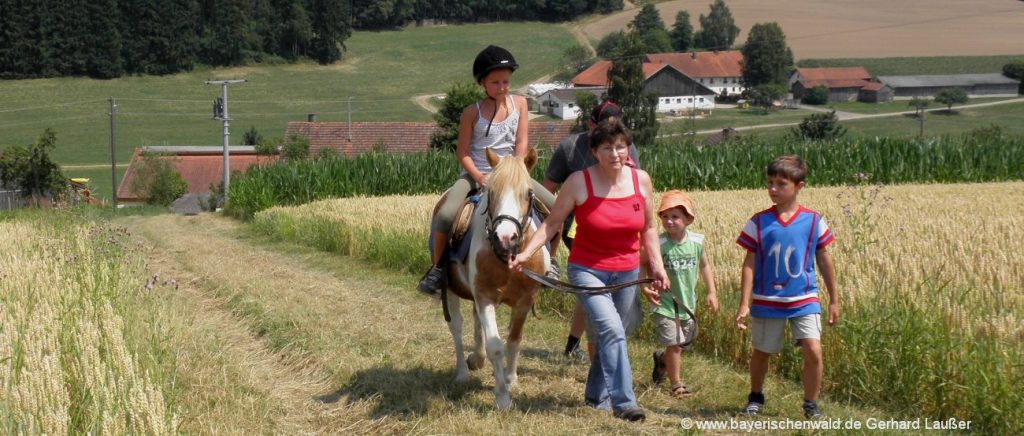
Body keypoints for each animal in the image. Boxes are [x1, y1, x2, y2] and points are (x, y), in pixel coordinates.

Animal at [428, 147, 548, 409]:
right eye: (491, 193)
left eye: (528, 193)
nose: (505, 238)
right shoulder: (484, 296)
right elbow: (495, 346)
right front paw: (502, 397)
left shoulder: (524, 301)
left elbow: (514, 340)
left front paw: (511, 379)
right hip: (450, 289)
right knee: (457, 326)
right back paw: (464, 371)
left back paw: (477, 359)